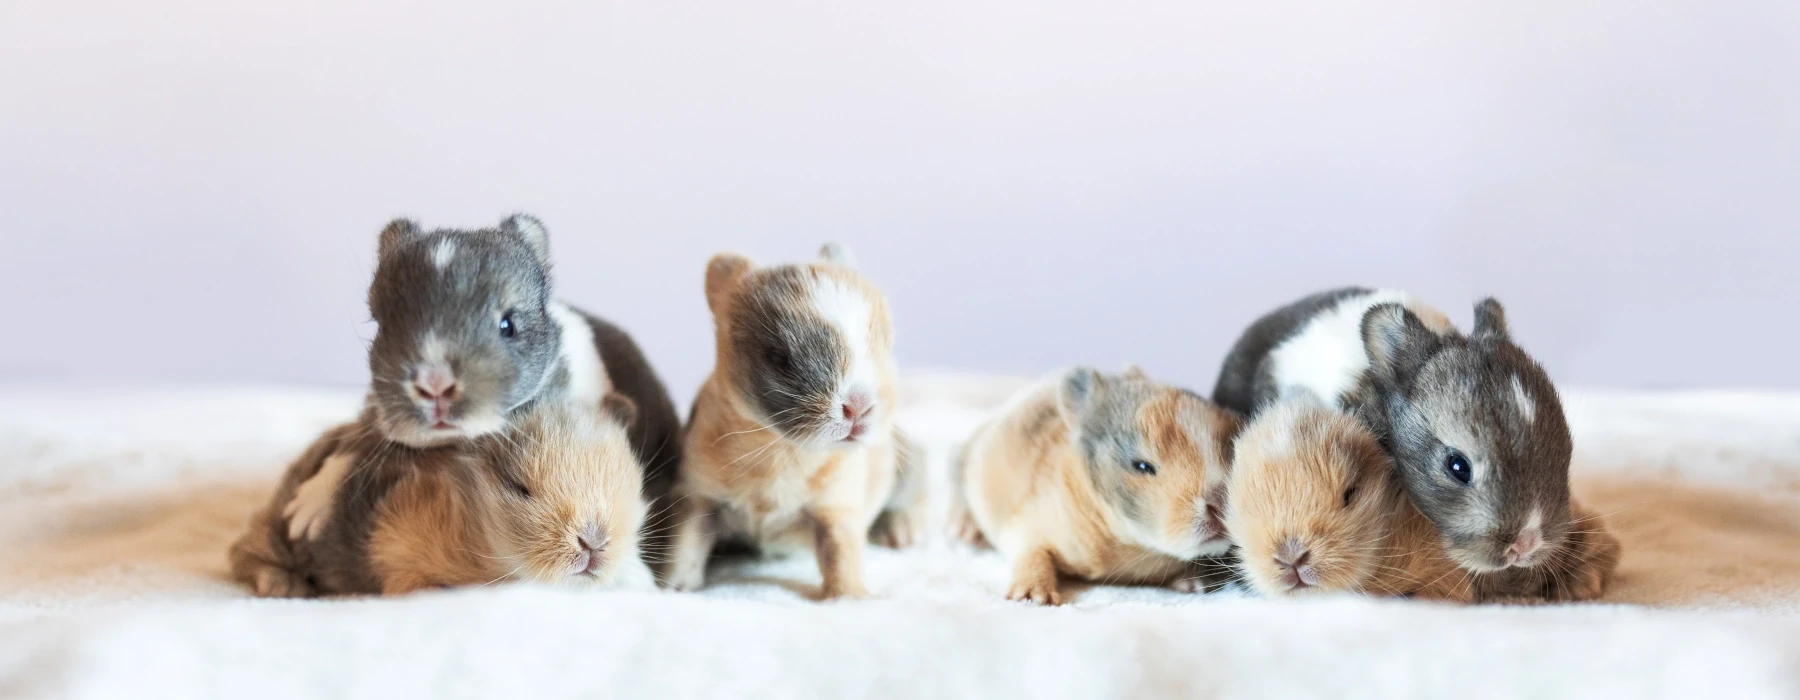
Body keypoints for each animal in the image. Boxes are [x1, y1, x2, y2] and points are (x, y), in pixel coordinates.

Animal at [228, 398, 654, 596]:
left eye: (629, 482)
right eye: (518, 487)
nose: (593, 541)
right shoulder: (397, 557)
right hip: (273, 534)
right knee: (240, 555)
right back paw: (288, 587)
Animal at [664, 244, 925, 598]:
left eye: (883, 346)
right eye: (778, 357)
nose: (859, 407)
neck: (781, 449)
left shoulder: (837, 510)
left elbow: (841, 553)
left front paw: (849, 597)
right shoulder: (697, 498)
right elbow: (686, 545)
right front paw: (674, 589)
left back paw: (901, 530)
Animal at [950, 366, 1239, 605]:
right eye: (1141, 466)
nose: (1220, 505)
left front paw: (1197, 583)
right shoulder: (1025, 527)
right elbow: (1031, 554)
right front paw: (1032, 596)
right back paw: (965, 531)